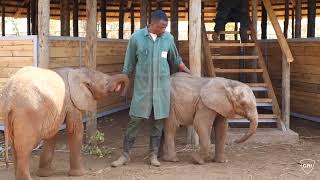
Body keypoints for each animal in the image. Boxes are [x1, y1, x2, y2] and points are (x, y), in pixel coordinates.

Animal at [0, 66, 129, 180]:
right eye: (106, 83)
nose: (122, 92)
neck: (78, 72)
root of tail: (9, 98)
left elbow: (52, 133)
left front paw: (45, 174)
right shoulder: (71, 102)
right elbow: (75, 130)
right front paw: (79, 174)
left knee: (15, 145)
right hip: (27, 113)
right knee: (24, 147)